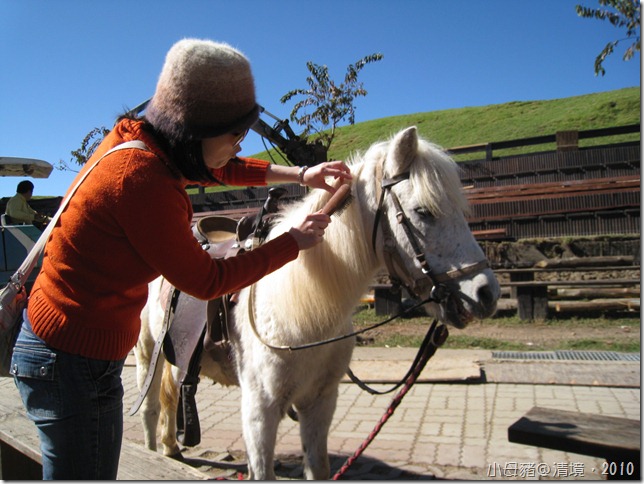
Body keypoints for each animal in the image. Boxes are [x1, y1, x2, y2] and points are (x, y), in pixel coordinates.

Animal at [133, 127, 500, 480]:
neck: (300, 312)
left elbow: (318, 466)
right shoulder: (260, 410)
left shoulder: (320, 403)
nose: (487, 293)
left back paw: (171, 447)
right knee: (150, 409)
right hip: (147, 353)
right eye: (423, 211)